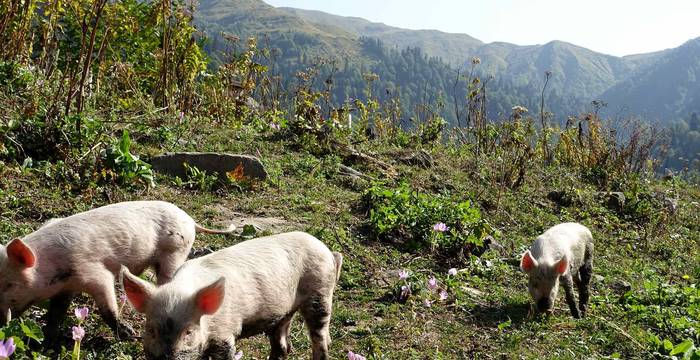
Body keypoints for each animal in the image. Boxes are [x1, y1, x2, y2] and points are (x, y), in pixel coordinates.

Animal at [0, 200, 235, 344]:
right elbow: (56, 313)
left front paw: (129, 334)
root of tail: (190, 219)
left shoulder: (95, 273)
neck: (51, 267)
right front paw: (46, 341)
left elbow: (107, 307)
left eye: (9, 285)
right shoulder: (65, 288)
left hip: (175, 251)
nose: (1, 321)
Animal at [121, 231, 344, 360]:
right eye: (152, 330)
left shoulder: (225, 333)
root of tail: (328, 251)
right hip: (284, 311)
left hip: (320, 291)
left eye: (188, 332)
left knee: (320, 338)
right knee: (281, 344)